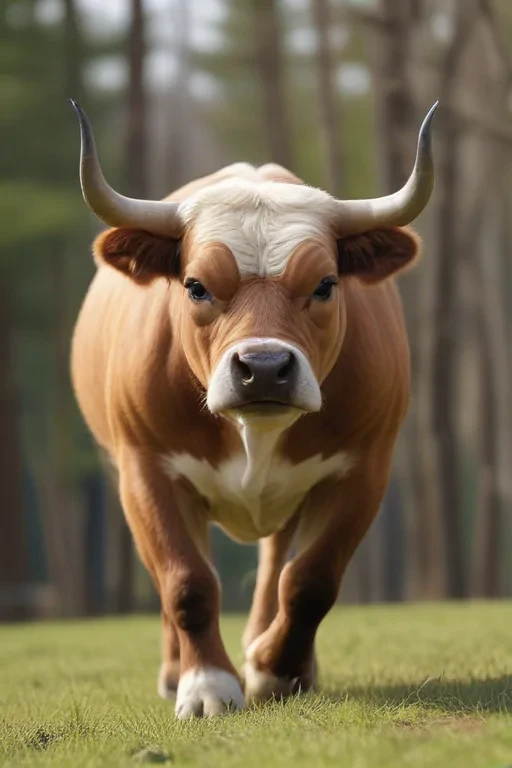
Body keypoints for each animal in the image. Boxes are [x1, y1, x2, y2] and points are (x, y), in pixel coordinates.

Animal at [69, 99, 437, 719]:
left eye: (326, 283)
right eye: (195, 285)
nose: (264, 367)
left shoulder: (363, 468)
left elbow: (309, 581)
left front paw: (275, 669)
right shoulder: (145, 468)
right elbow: (186, 581)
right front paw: (206, 686)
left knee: (274, 567)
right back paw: (175, 671)